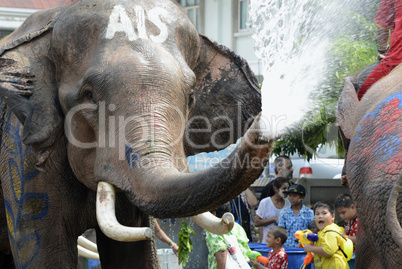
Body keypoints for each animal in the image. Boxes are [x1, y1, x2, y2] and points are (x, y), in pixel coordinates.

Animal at [0, 0, 274, 268]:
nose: (228, 216)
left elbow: (132, 251)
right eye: (89, 95)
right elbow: (40, 247)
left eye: (191, 97)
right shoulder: (22, 154)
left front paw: (144, 235)